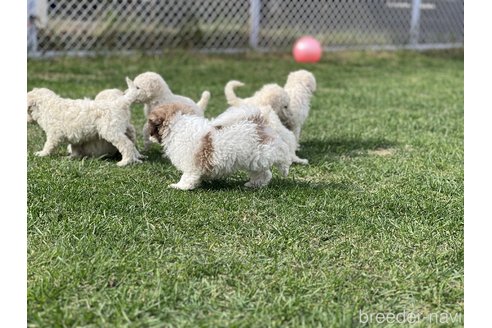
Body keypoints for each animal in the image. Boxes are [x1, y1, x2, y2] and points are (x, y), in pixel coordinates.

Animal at [146, 102, 292, 190]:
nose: (149, 136)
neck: (176, 125)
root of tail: (257, 122)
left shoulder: (191, 164)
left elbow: (187, 176)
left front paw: (180, 186)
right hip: (253, 160)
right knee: (264, 173)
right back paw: (253, 184)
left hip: (263, 152)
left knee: (282, 155)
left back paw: (284, 168)